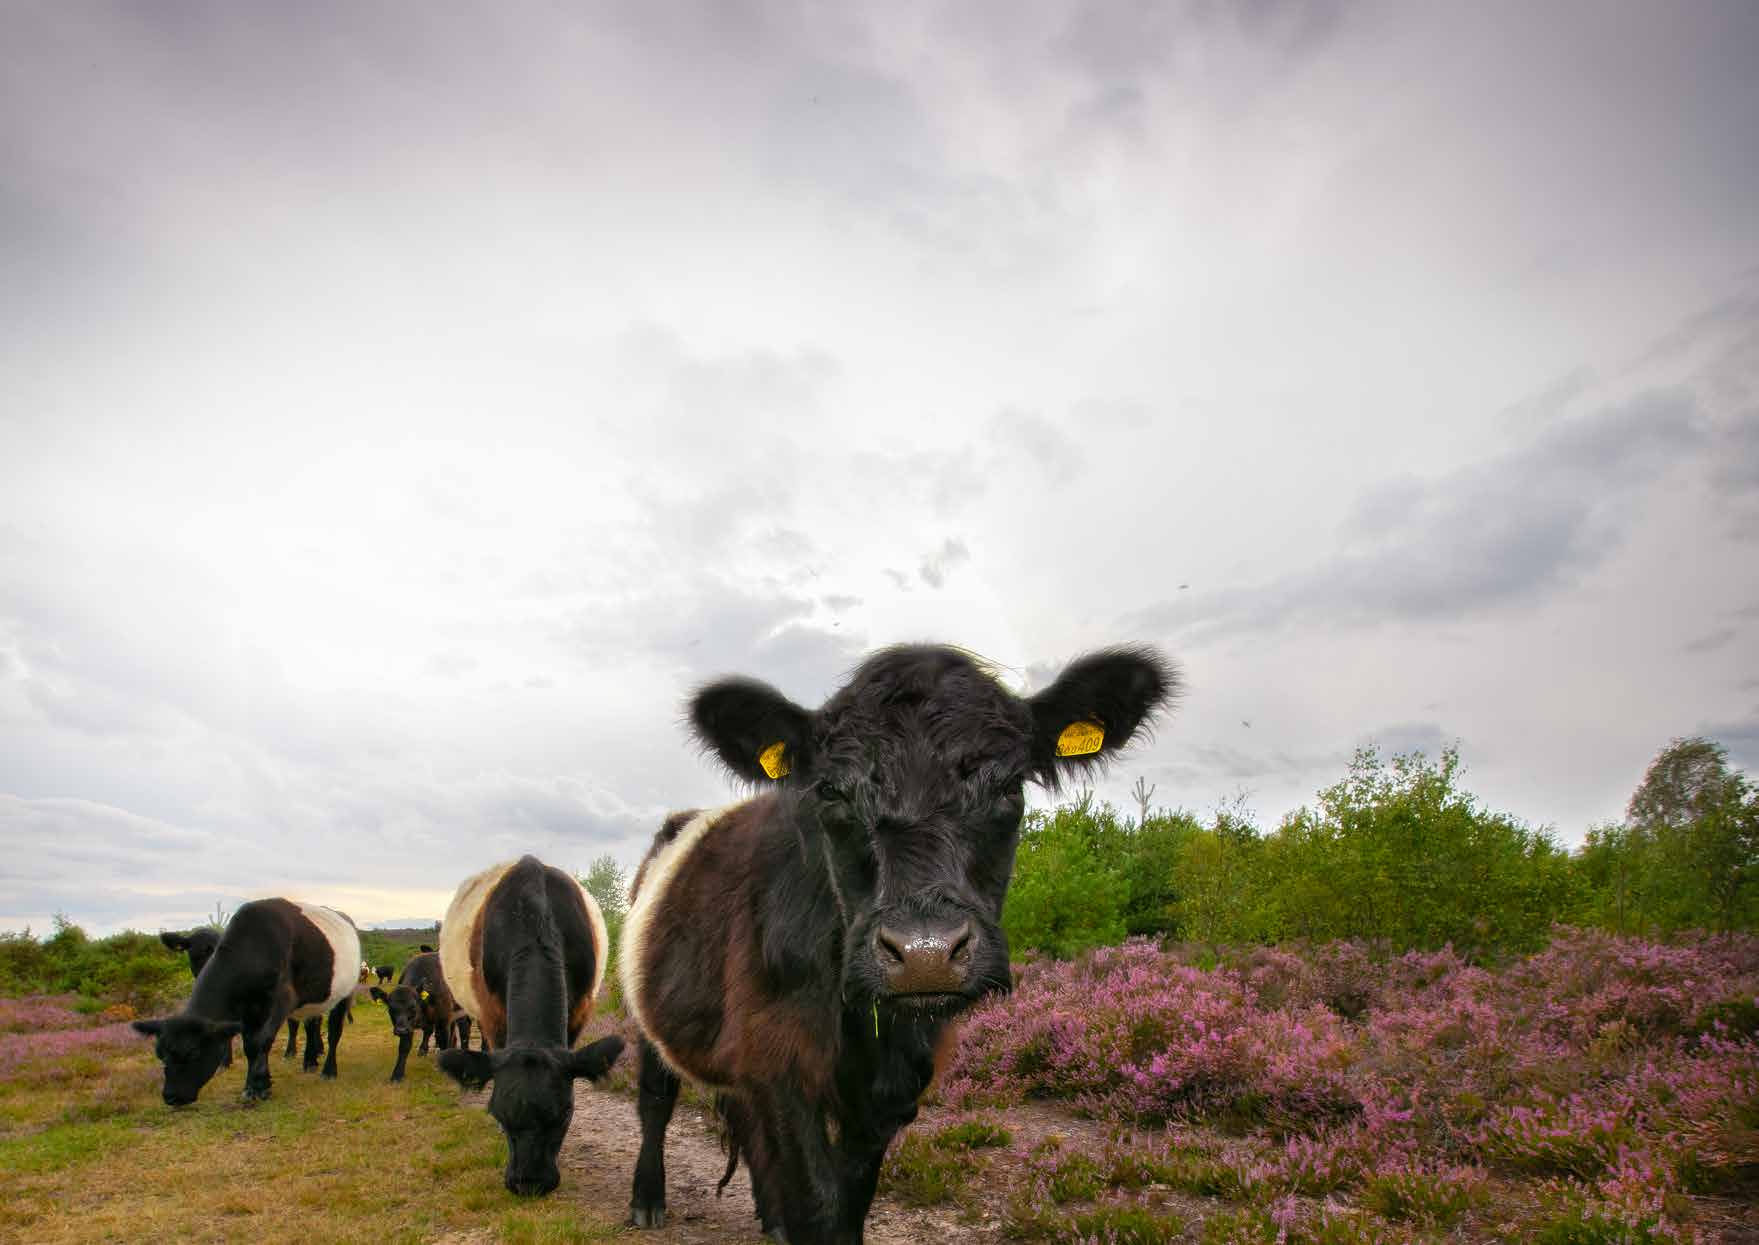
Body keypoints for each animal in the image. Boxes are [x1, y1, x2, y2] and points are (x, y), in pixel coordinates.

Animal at [133, 899, 361, 1105]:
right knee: (312, 1024)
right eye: (161, 1054)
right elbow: (250, 1045)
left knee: (334, 1032)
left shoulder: (281, 1000)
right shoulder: (247, 1011)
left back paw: (329, 1070)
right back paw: (310, 1060)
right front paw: (256, 1085)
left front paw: (258, 1087)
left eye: (193, 1052)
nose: (170, 1096)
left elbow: (262, 1041)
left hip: (345, 992)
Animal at [370, 951, 467, 1081]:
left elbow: (443, 1040)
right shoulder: (408, 1026)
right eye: (391, 1009)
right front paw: (397, 1074)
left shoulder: (443, 1019)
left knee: (462, 1030)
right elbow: (404, 1047)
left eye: (413, 1007)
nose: (400, 1030)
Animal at [622, 643, 1176, 1243]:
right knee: (656, 1100)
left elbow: (850, 1201)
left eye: (1009, 787)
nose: (925, 953)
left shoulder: (894, 1084)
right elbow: (816, 1202)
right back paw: (647, 1201)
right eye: (832, 792)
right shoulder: (779, 1060)